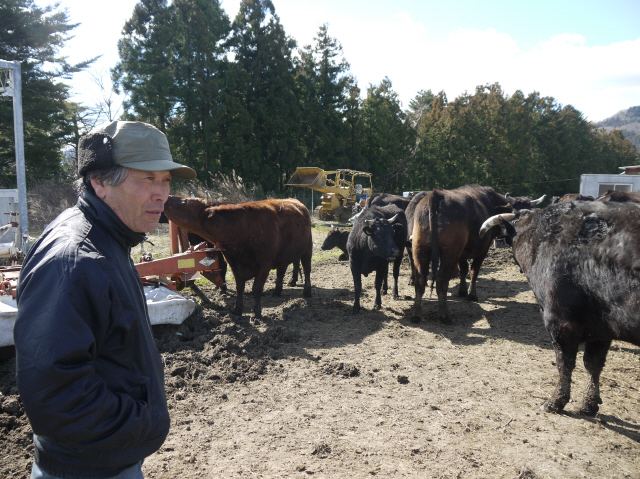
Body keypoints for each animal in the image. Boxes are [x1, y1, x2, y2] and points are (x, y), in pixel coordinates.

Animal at [162, 195, 312, 318]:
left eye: (186, 201)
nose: (167, 197)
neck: (243, 229)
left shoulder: (264, 264)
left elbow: (257, 288)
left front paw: (257, 312)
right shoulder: (234, 264)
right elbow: (239, 287)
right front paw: (237, 309)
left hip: (307, 249)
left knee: (306, 270)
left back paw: (307, 292)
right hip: (284, 255)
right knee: (281, 271)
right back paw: (277, 291)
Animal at [482, 202, 640, 416]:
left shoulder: (560, 322)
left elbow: (564, 364)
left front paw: (556, 401)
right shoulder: (602, 329)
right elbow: (593, 363)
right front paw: (589, 402)